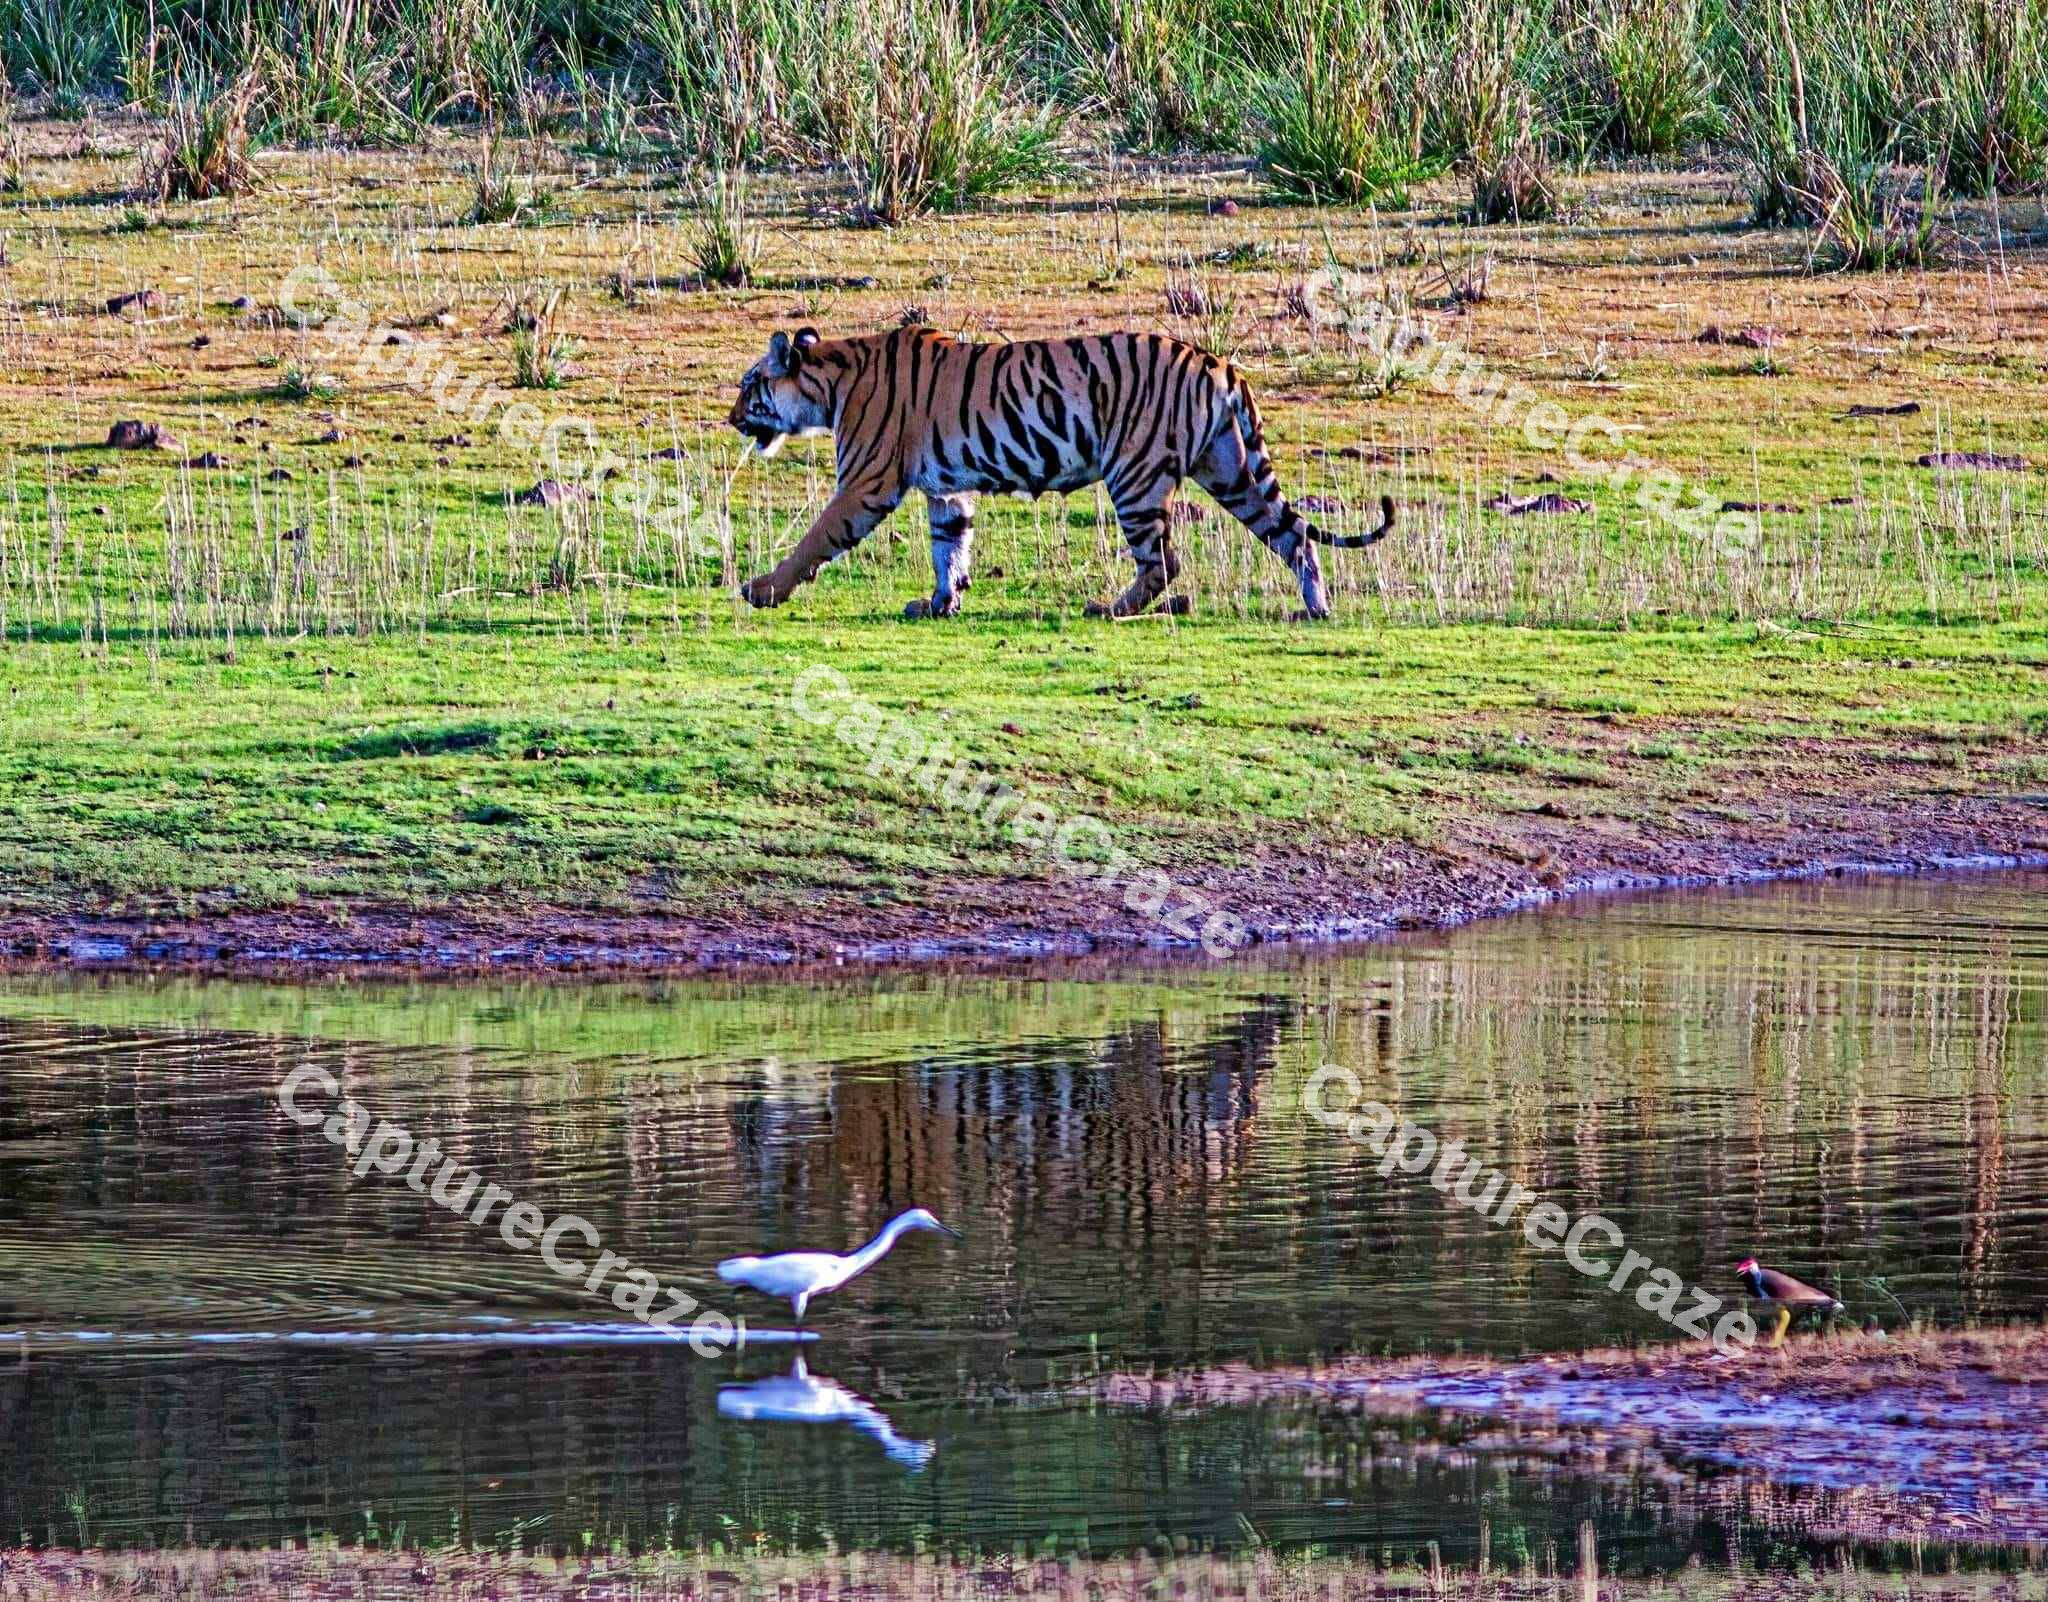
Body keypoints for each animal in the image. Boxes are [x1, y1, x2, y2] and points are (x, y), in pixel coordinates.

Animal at [727, 324, 1395, 621]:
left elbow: (815, 538)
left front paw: (762, 590)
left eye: (748, 384)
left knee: (1164, 561)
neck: (828, 380)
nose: (731, 419)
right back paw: (1315, 609)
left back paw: (1110, 608)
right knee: (1294, 533)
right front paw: (941, 602)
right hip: (1230, 470)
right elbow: (950, 547)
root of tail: (1217, 362)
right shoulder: (947, 490)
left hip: (1135, 474)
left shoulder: (867, 483)